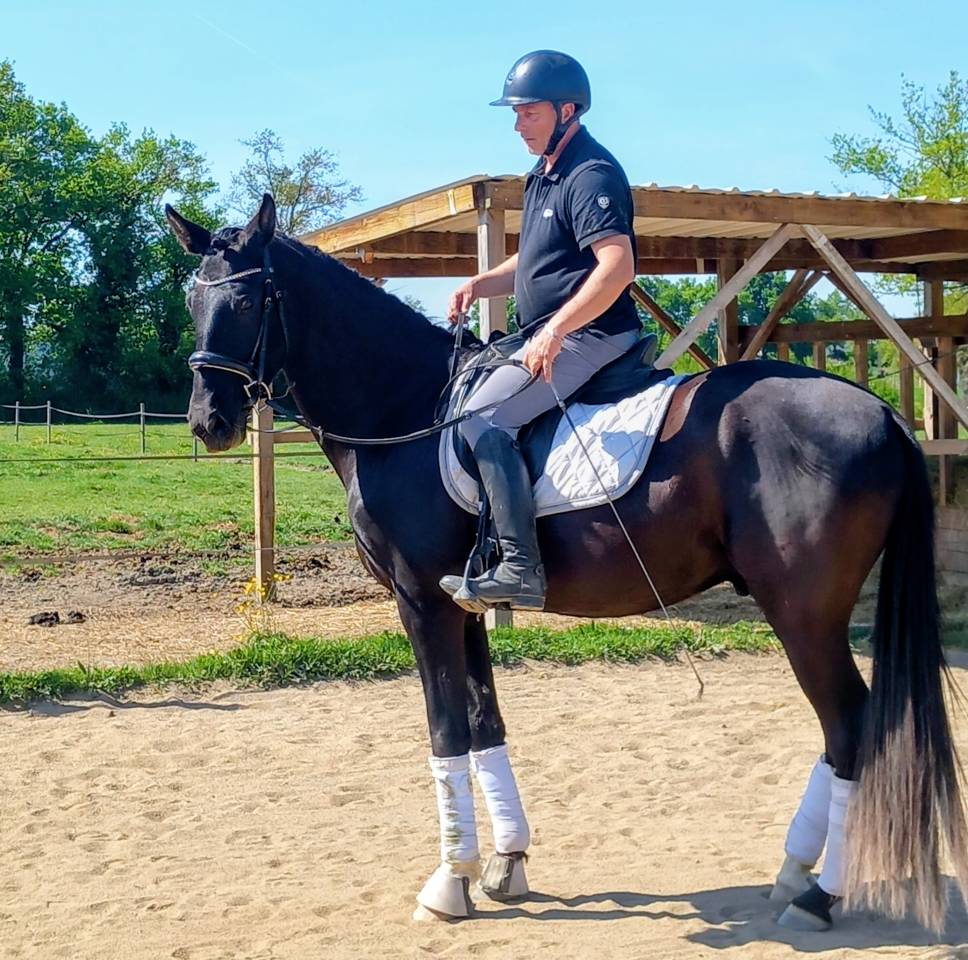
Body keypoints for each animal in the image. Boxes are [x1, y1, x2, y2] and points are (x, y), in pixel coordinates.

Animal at [165, 193, 967, 933]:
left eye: (246, 299)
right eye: (193, 300)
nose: (208, 422)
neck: (407, 411)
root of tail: (882, 412)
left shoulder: (421, 601)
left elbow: (445, 731)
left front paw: (448, 883)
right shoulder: (463, 604)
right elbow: (485, 723)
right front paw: (504, 863)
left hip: (803, 613)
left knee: (851, 726)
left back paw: (818, 895)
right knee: (844, 732)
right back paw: (793, 870)